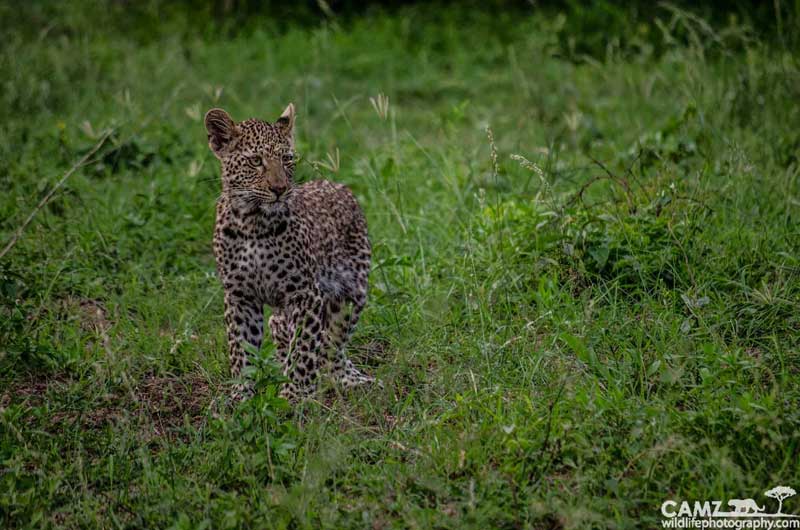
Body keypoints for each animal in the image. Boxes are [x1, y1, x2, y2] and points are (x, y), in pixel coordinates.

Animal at [204, 103, 376, 401]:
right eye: (255, 161)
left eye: (287, 159)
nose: (279, 188)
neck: (252, 223)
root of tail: (338, 185)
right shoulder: (239, 295)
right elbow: (241, 349)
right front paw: (240, 397)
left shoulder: (304, 294)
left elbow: (304, 348)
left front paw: (294, 395)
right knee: (280, 324)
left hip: (351, 292)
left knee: (333, 345)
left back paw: (347, 379)